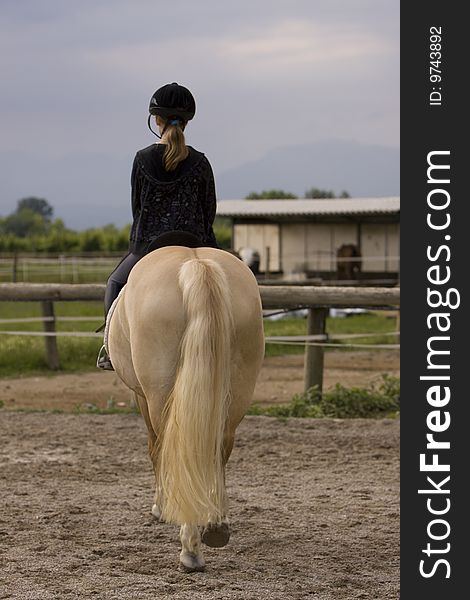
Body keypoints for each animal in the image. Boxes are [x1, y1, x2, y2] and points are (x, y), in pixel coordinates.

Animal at [108, 245, 266, 572]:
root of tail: (197, 264)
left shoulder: (142, 398)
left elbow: (155, 450)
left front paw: (159, 508)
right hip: (237, 393)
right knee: (217, 451)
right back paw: (216, 526)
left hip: (159, 395)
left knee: (173, 451)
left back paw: (190, 550)